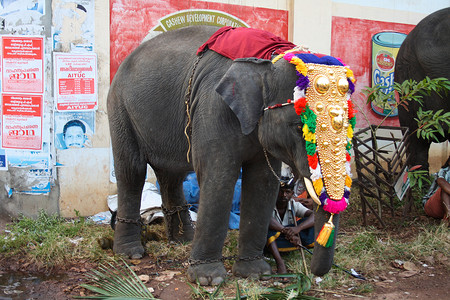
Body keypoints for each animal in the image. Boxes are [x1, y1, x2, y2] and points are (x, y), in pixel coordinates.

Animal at [106, 25, 356, 284]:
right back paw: (130, 253)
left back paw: (183, 240)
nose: (314, 273)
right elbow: (220, 176)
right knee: (132, 171)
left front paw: (254, 274)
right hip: (119, 107)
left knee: (171, 175)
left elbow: (263, 181)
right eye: (299, 127)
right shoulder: (213, 107)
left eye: (350, 127)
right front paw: (209, 280)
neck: (268, 59)